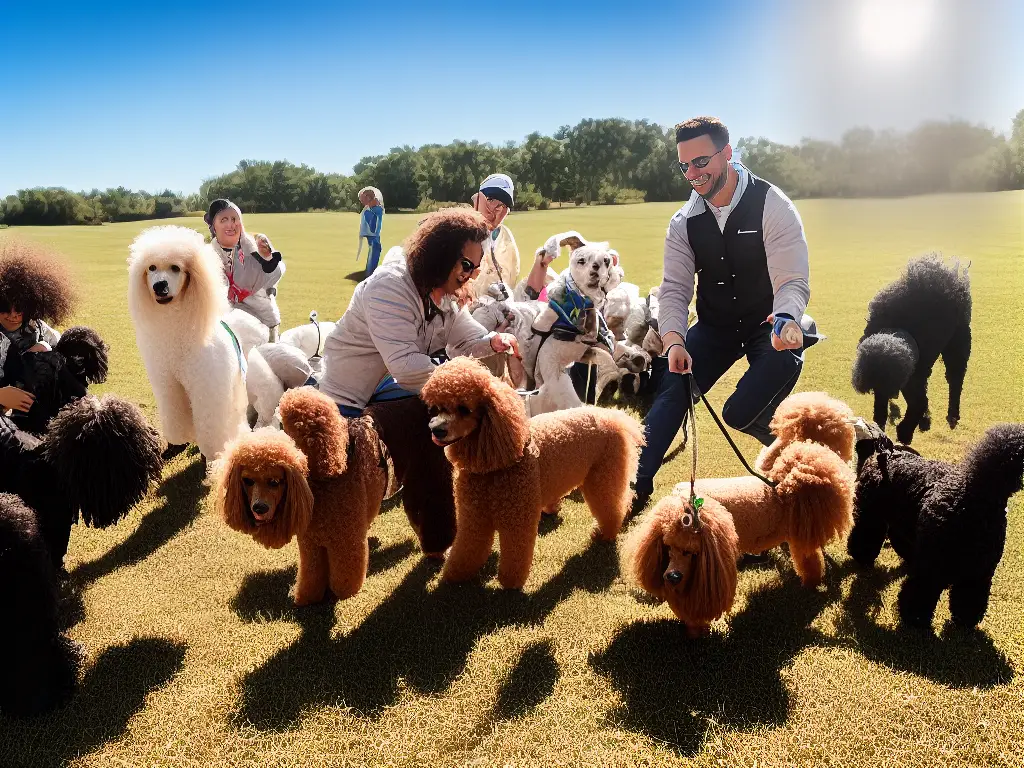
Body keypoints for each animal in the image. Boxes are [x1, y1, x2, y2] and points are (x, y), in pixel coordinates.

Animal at [126, 224, 260, 462]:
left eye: (176, 268)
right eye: (151, 268)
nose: (159, 286)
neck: (179, 331)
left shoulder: (206, 386)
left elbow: (212, 428)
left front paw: (213, 456)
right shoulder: (168, 384)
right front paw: (177, 444)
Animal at [847, 421, 1024, 630]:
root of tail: (884, 454)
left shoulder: (978, 572)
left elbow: (969, 597)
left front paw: (965, 619)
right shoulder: (933, 567)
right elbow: (921, 592)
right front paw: (915, 619)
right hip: (873, 517)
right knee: (864, 537)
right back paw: (863, 557)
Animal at [851, 256, 970, 442]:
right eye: (874, 388)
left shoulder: (913, 376)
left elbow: (919, 403)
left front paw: (905, 432)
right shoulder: (907, 379)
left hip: (958, 342)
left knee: (955, 379)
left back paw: (952, 415)